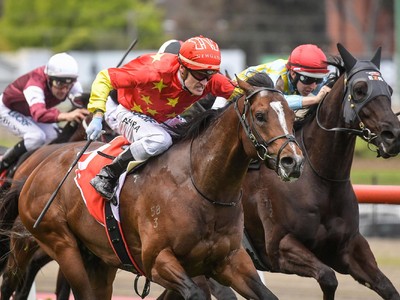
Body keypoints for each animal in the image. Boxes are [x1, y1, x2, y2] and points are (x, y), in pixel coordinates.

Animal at [12, 78, 304, 300]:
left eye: (292, 116)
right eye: (260, 116)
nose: (293, 161)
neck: (202, 187)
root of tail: (35, 169)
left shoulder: (230, 261)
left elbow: (266, 295)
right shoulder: (158, 261)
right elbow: (194, 293)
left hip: (99, 259)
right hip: (61, 244)